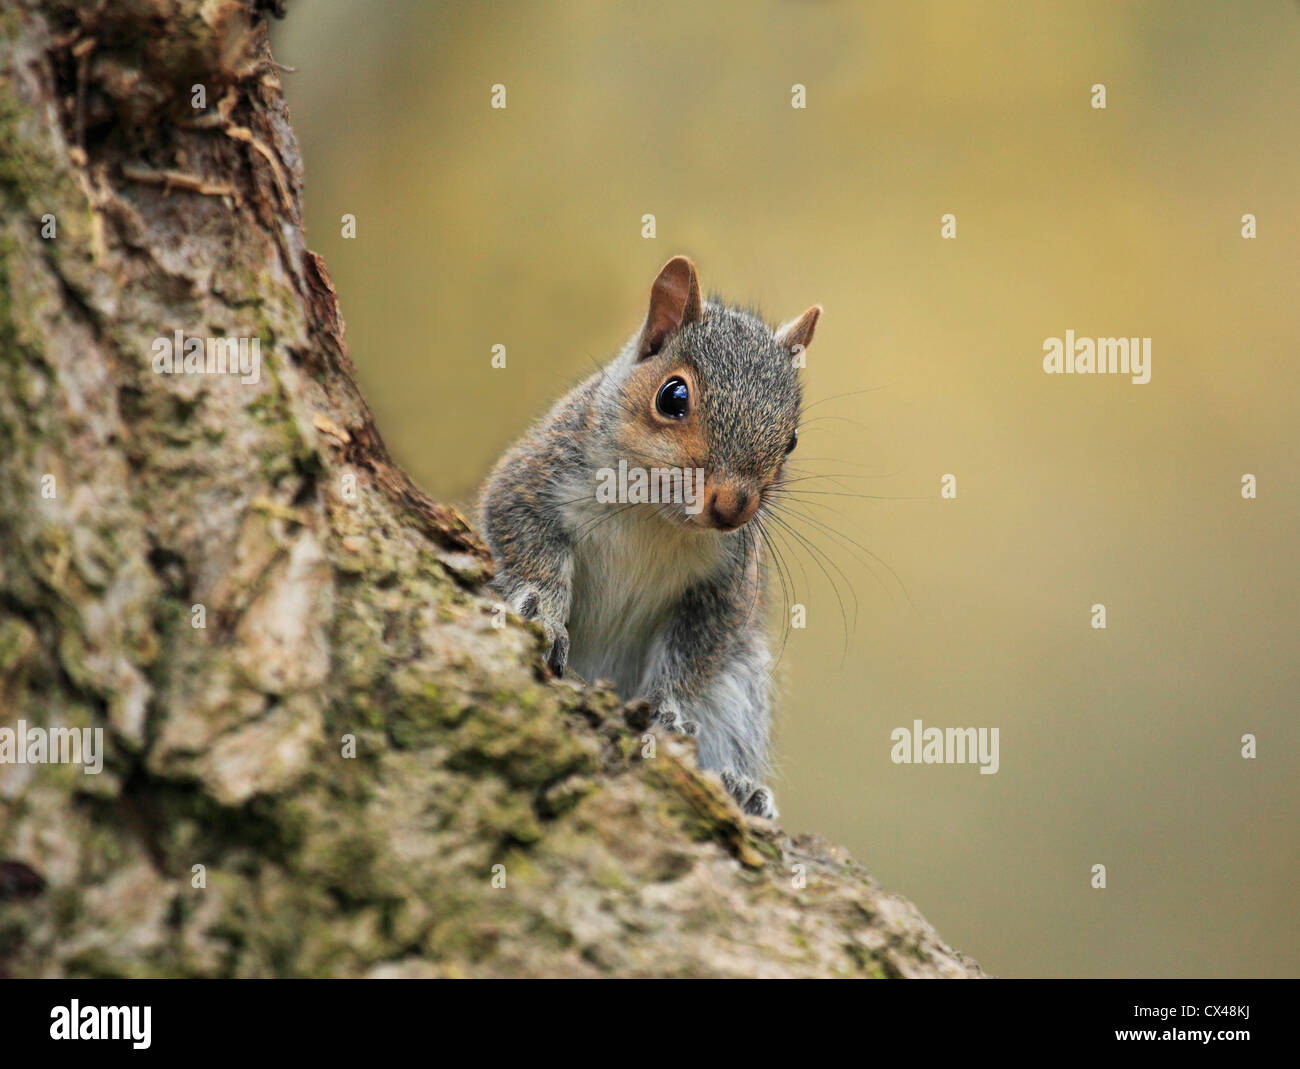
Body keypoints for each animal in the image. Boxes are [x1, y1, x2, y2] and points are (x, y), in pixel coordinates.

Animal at [478, 260, 821, 821]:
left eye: (790, 440)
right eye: (672, 397)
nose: (733, 507)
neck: (657, 517)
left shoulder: (724, 581)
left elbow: (693, 653)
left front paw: (668, 708)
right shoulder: (535, 478)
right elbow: (525, 539)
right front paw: (544, 616)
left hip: (740, 686)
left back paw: (741, 788)